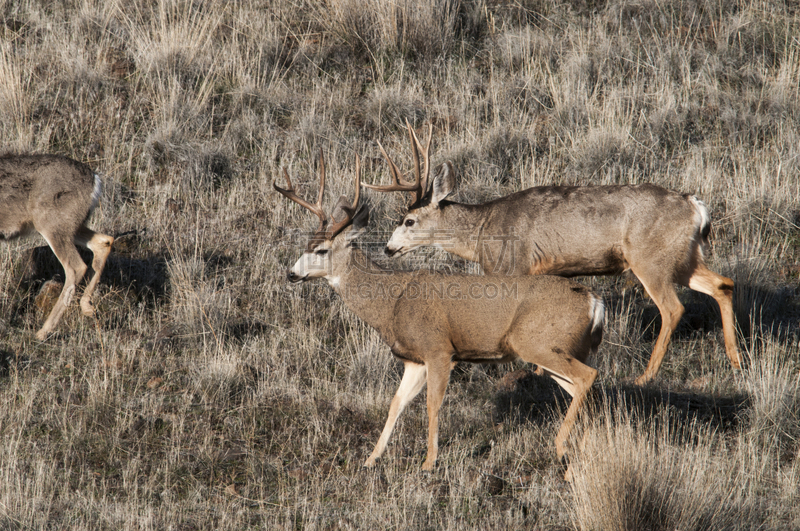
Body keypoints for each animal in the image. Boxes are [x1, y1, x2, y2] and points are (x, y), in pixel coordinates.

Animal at [0, 154, 115, 340]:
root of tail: (94, 179)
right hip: (71, 226)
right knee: (104, 241)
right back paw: (87, 307)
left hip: (51, 223)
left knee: (76, 267)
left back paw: (43, 331)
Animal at [278, 152, 604, 480]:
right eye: (306, 245)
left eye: (321, 250)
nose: (291, 274)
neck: (393, 302)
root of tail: (594, 301)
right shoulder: (414, 360)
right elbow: (396, 403)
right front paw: (371, 459)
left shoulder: (438, 349)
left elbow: (432, 404)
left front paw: (428, 462)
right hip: (558, 350)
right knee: (583, 390)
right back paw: (578, 455)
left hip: (536, 342)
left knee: (587, 377)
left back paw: (562, 451)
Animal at [366, 122, 740, 384]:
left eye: (409, 220)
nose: (388, 248)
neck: (483, 230)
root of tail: (695, 205)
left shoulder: (512, 267)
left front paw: (535, 373)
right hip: (683, 258)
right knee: (723, 284)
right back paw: (736, 361)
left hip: (650, 259)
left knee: (673, 308)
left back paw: (645, 376)